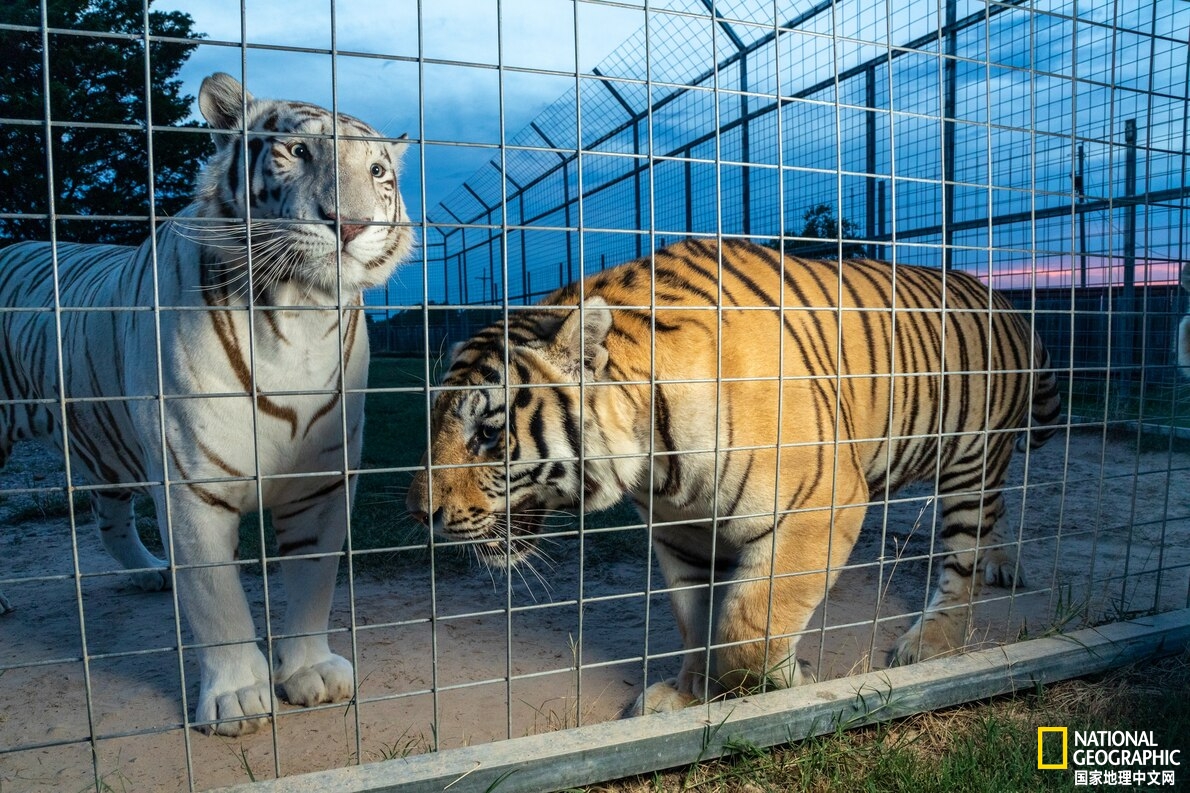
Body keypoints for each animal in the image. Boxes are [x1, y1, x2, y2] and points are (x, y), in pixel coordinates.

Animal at [0, 72, 413, 735]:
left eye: (376, 170)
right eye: (298, 151)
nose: (349, 225)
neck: (299, 318)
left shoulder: (323, 478)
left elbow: (313, 581)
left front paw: (308, 673)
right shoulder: (191, 482)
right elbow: (215, 598)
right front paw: (239, 700)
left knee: (108, 516)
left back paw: (148, 574)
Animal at [407, 237, 1060, 716]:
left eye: (487, 433)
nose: (420, 514)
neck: (654, 460)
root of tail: (1003, 297)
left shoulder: (819, 503)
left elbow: (749, 627)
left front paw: (783, 681)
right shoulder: (683, 532)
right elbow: (697, 622)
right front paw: (686, 694)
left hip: (971, 462)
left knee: (962, 558)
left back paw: (932, 641)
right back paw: (1000, 566)